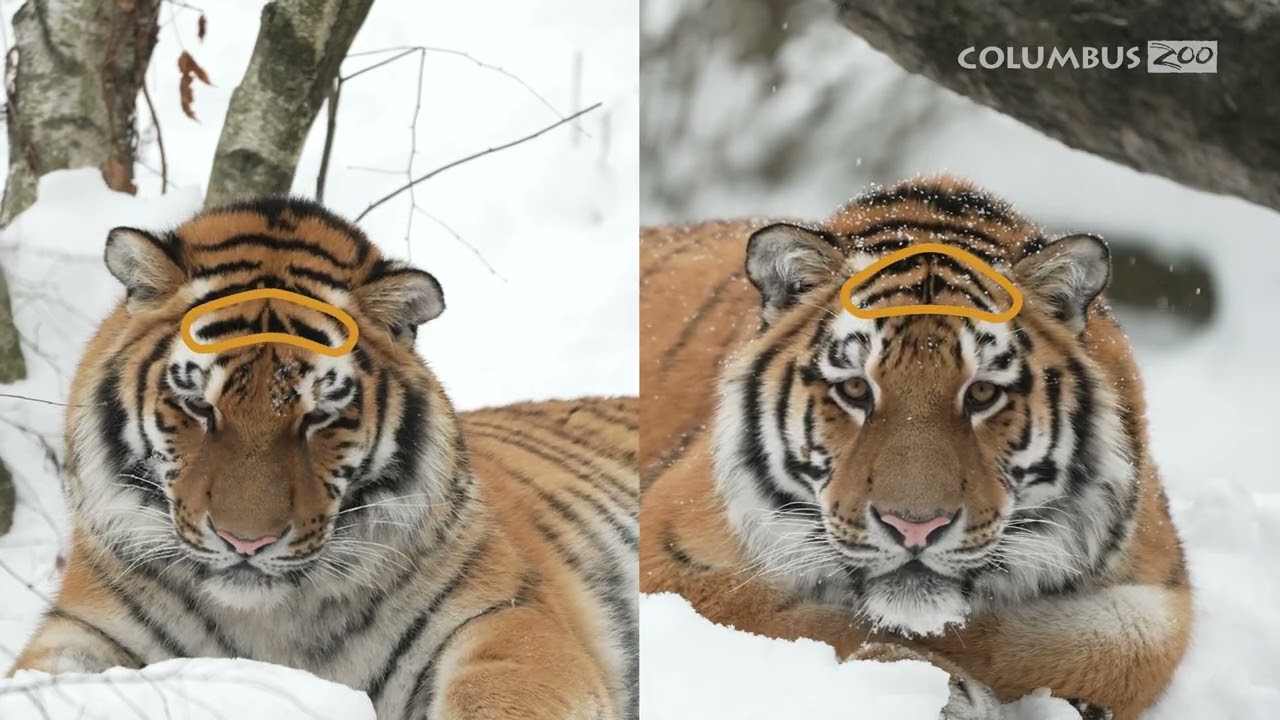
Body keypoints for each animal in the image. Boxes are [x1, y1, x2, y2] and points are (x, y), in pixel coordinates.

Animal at [7, 197, 638, 720]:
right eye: (198, 406)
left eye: (318, 416)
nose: (246, 543)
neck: (271, 623)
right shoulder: (84, 631)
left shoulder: (509, 616)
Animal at [639, 176, 1191, 719]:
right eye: (855, 389)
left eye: (982, 393)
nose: (915, 528)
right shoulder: (666, 545)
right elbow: (781, 616)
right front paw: (945, 687)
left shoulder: (1164, 587)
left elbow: (1093, 649)